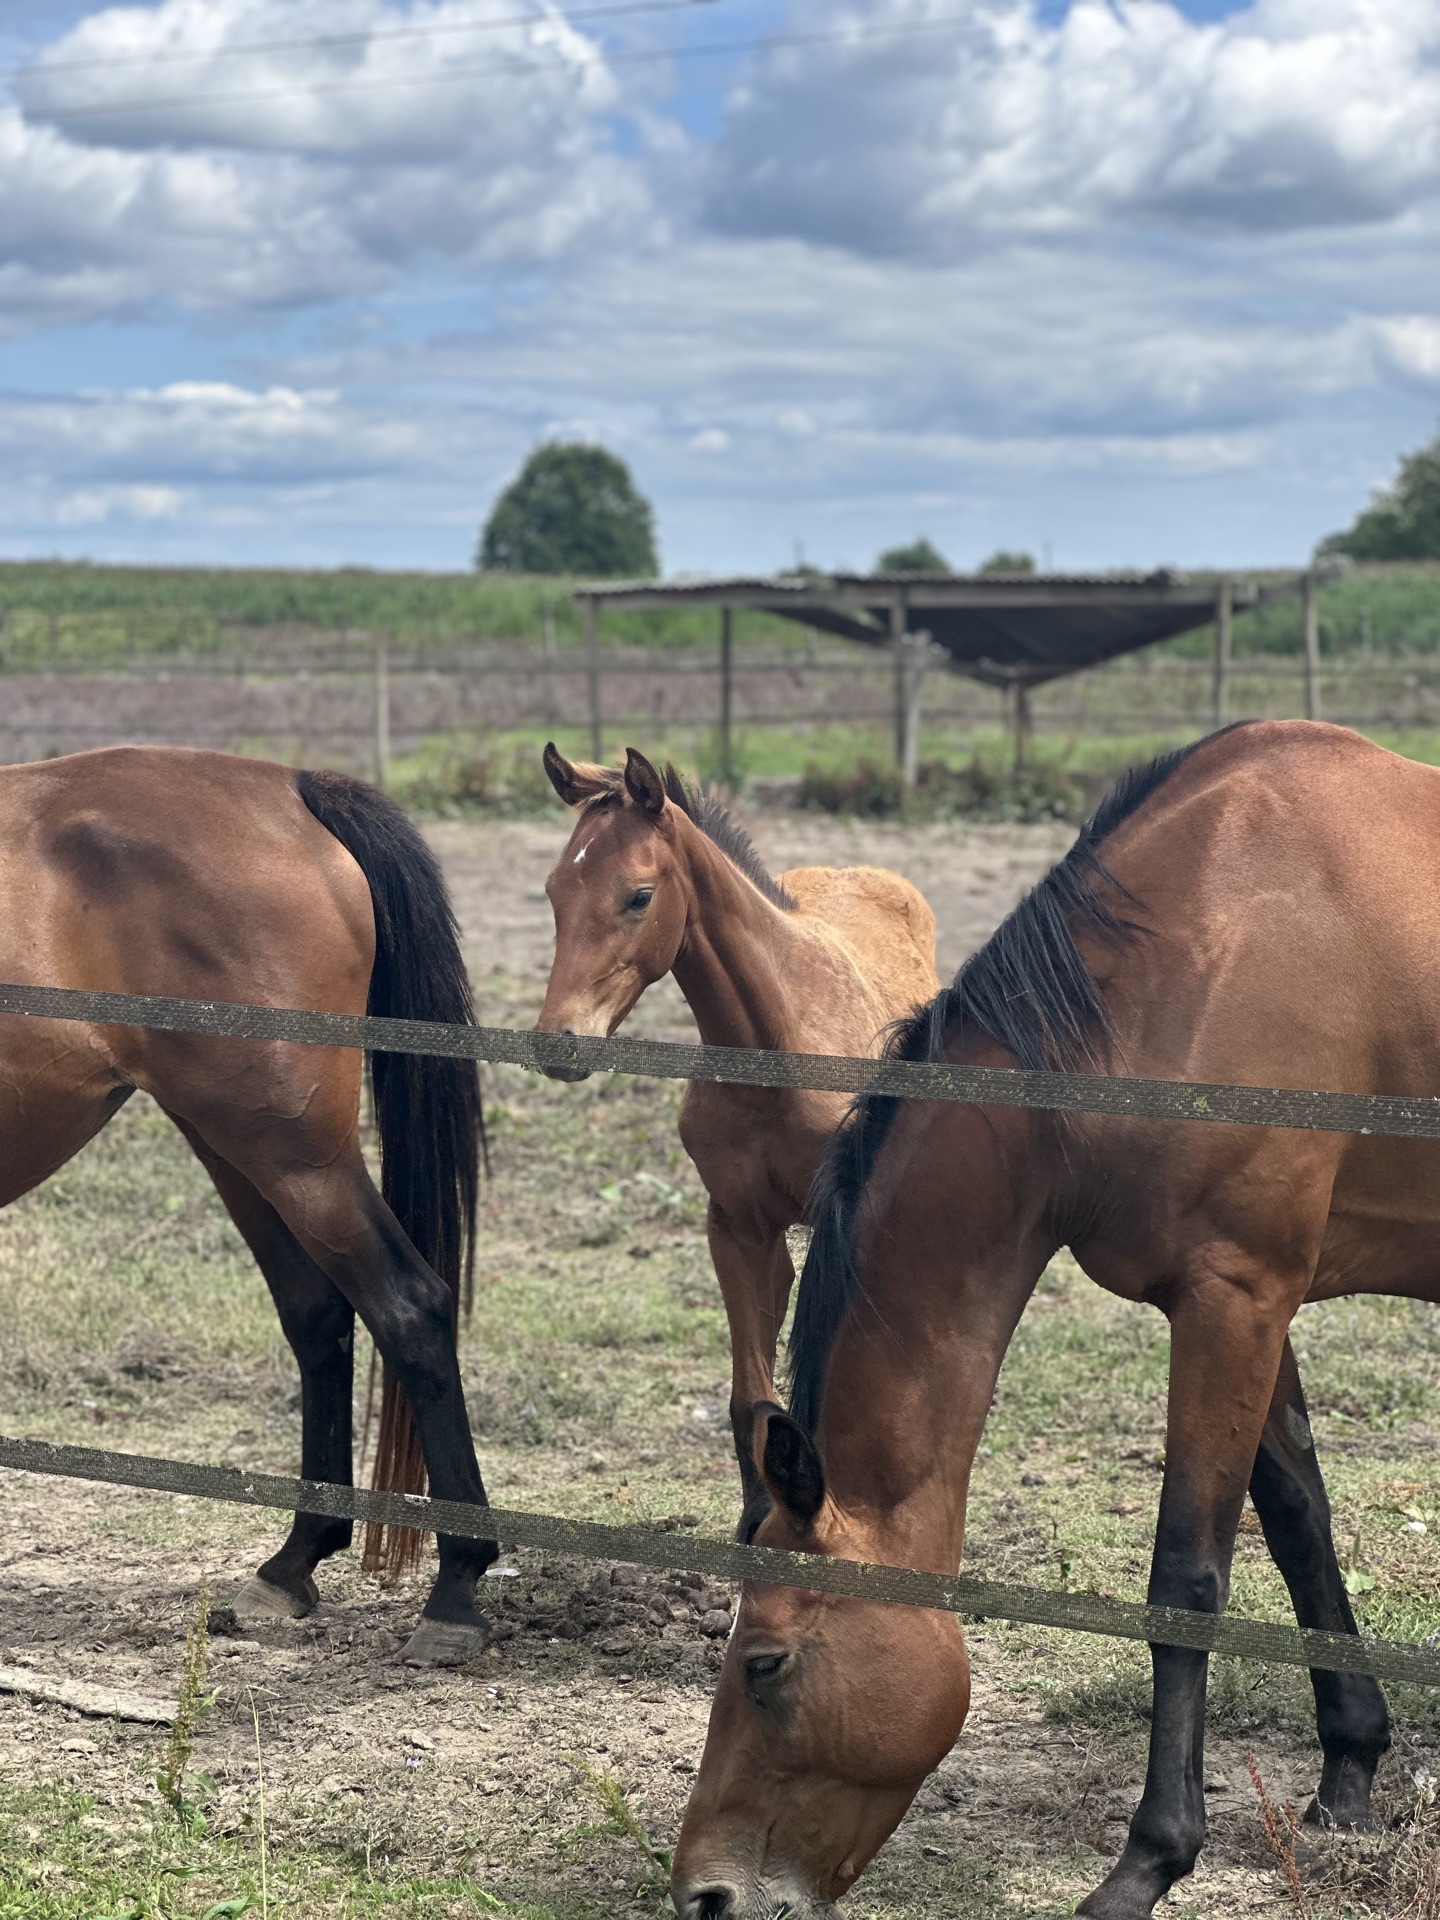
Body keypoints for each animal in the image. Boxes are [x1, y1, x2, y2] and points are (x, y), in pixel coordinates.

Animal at [0, 744, 495, 1667]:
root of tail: (289, 786)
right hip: (237, 1144)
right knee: (319, 1316)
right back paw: (296, 1560)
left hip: (293, 1154)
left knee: (406, 1306)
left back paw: (454, 1589)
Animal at [534, 744, 939, 1536]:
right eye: (554, 890)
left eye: (637, 896)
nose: (558, 1043)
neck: (773, 1043)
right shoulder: (736, 1225)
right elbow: (750, 1394)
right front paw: (759, 1515)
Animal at [671, 718, 1424, 1920]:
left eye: (765, 1664)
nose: (705, 1895)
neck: (1198, 955)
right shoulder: (1257, 1302)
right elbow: (1299, 1515)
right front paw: (1350, 1771)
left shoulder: (1231, 1301)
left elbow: (1187, 1576)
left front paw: (1147, 1863)